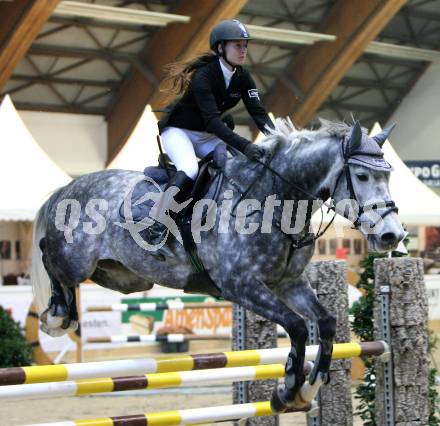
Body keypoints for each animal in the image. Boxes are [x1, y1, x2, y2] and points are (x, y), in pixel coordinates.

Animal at [31, 118, 406, 412]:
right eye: (361, 175)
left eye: (388, 178)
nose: (392, 235)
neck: (274, 200)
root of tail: (68, 186)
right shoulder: (241, 286)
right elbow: (297, 327)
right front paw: (287, 389)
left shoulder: (289, 283)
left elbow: (325, 324)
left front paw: (308, 388)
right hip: (77, 261)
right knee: (49, 257)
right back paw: (56, 317)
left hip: (126, 277)